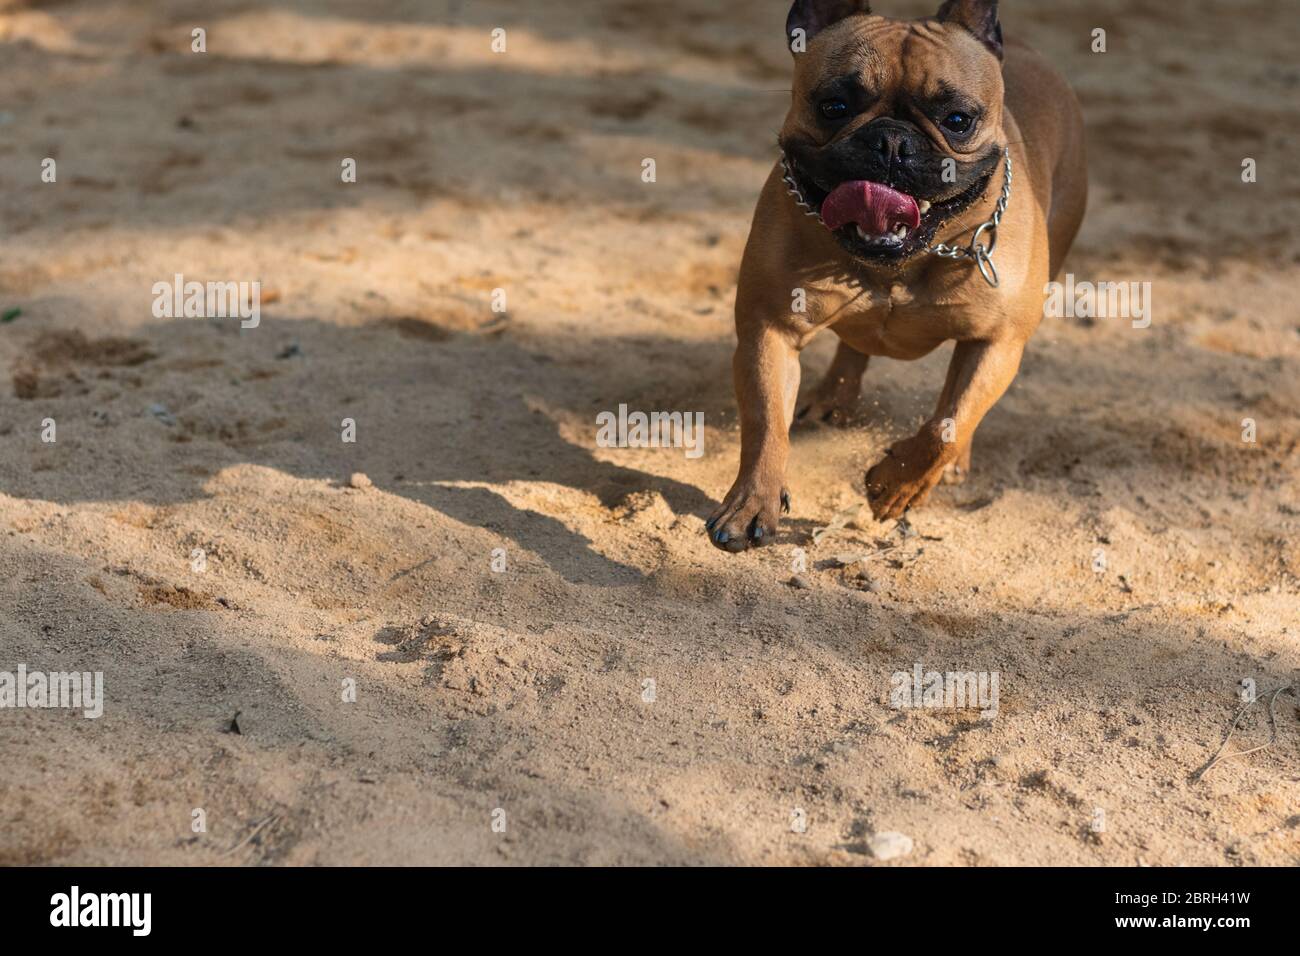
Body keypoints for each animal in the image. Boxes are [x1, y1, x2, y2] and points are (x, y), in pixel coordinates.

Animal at [707, 0, 1081, 554]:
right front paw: (753, 502)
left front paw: (895, 485)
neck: (904, 258)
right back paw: (832, 398)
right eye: (834, 106)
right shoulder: (768, 329)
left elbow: (949, 424)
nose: (890, 140)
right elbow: (765, 421)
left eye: (958, 120)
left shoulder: (998, 343)